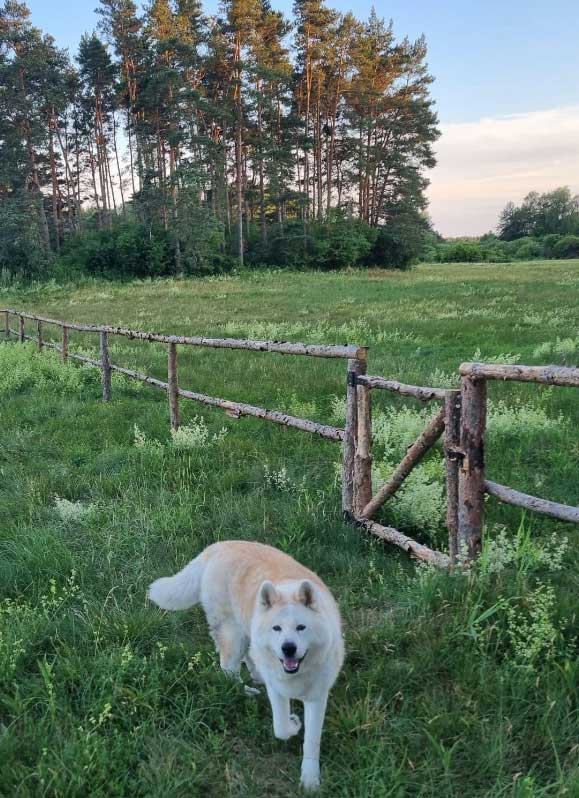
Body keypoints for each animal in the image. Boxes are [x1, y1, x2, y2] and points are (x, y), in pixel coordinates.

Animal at [148, 540, 344, 792]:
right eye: (277, 628)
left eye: (301, 627)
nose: (288, 648)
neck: (296, 673)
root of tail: (219, 545)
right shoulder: (277, 689)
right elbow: (280, 727)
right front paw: (294, 724)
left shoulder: (317, 696)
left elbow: (311, 741)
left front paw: (310, 779)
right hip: (232, 635)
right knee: (229, 669)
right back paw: (247, 690)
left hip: (245, 630)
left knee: (248, 656)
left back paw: (255, 675)